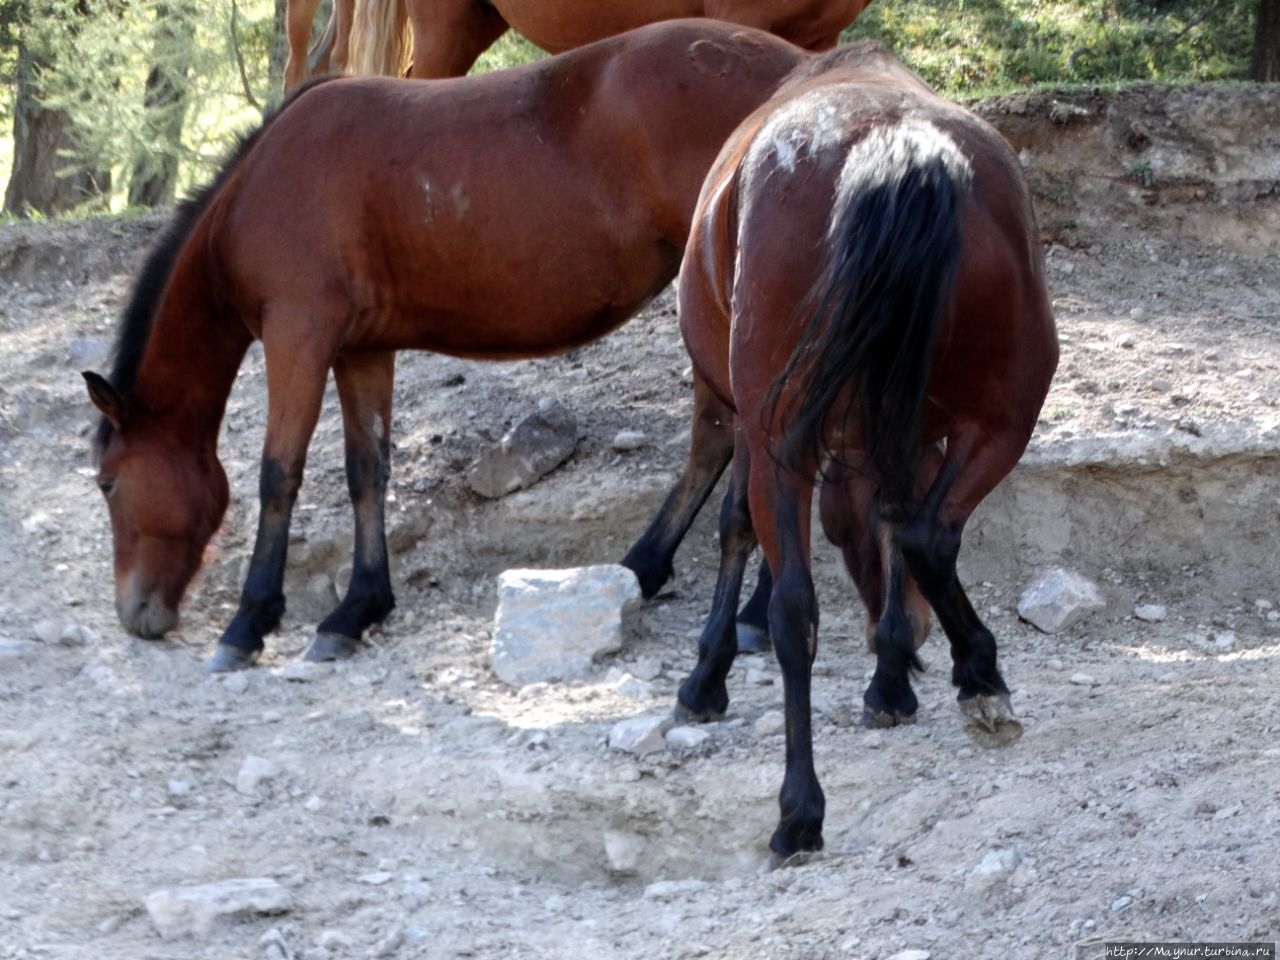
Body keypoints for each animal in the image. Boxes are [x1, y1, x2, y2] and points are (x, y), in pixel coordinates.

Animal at [85, 18, 808, 670]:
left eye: (108, 482)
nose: (136, 613)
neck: (260, 184)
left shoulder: (299, 333)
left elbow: (277, 474)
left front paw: (250, 621)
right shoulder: (360, 350)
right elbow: (367, 469)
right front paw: (357, 608)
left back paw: (741, 612)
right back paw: (652, 570)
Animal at [670, 43, 1059, 855]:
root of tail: (894, 143)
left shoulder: (748, 424)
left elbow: (735, 528)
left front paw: (707, 674)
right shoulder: (904, 432)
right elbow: (898, 524)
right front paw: (893, 673)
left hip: (780, 436)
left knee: (797, 609)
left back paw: (799, 808)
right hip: (1005, 415)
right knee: (928, 533)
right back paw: (978, 677)